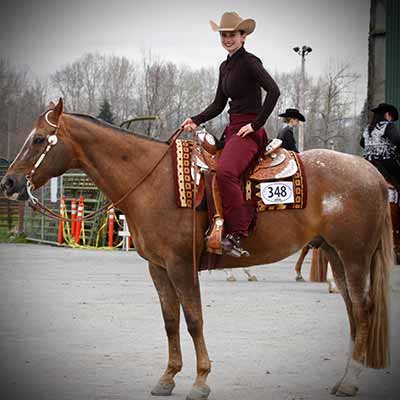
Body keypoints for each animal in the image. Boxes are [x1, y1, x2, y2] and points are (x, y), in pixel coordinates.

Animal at [1, 97, 392, 400]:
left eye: (39, 139)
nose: (9, 182)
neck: (152, 181)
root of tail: (372, 174)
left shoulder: (180, 265)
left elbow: (193, 320)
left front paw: (201, 381)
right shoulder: (158, 267)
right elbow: (170, 320)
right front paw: (168, 377)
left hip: (355, 256)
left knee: (363, 309)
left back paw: (350, 381)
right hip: (336, 254)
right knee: (352, 311)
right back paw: (344, 377)